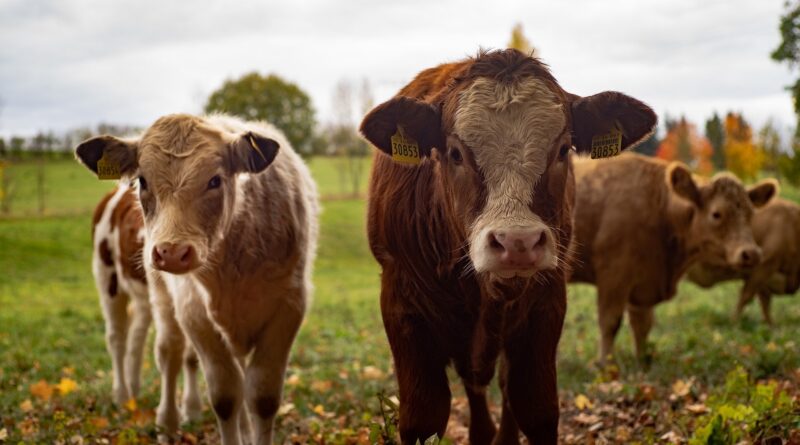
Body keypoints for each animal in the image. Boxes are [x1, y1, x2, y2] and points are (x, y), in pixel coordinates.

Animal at [76, 114, 318, 444]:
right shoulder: (193, 311)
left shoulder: (289, 306)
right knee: (142, 344)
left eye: (215, 180)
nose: (171, 252)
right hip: (113, 281)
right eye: (143, 181)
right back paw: (140, 406)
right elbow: (225, 395)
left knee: (144, 338)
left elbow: (262, 396)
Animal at [360, 49, 656, 444]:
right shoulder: (402, 307)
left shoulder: (546, 306)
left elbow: (536, 408)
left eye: (563, 149)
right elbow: (424, 417)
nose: (518, 242)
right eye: (455, 153)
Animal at [572, 153, 780, 364]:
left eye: (751, 214)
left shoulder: (643, 284)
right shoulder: (614, 276)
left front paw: (642, 361)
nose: (751, 253)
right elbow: (610, 323)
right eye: (716, 214)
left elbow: (642, 326)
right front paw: (605, 365)